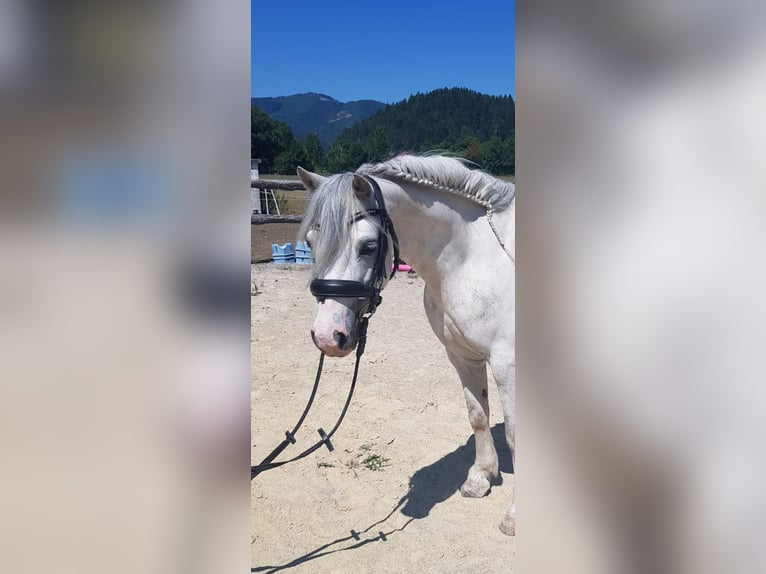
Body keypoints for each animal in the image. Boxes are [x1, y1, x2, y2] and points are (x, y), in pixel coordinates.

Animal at [296, 154, 516, 535]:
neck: (472, 260)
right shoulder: (462, 355)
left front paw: (515, 515)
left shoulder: (508, 364)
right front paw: (480, 477)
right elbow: (478, 415)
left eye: (369, 246)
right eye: (310, 242)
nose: (327, 336)